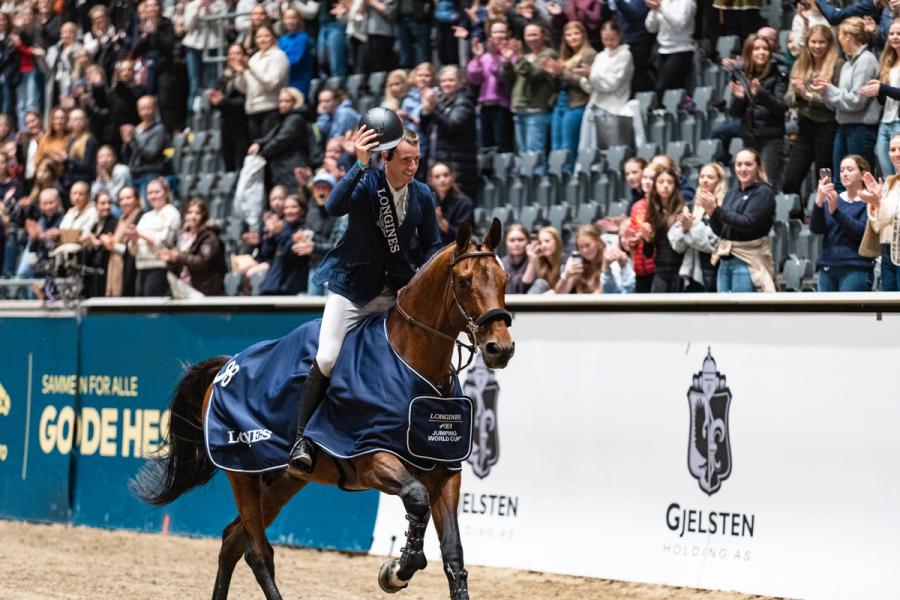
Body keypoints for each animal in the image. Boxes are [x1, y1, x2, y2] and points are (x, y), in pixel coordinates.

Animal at [132, 219, 512, 600]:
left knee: (232, 541)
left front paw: (408, 567)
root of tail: (226, 367)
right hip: (242, 473)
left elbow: (453, 556)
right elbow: (416, 500)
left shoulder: (446, 471)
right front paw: (396, 570)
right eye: (464, 281)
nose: (500, 348)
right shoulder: (371, 456)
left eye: (504, 279)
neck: (412, 363)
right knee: (257, 551)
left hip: (281, 481)